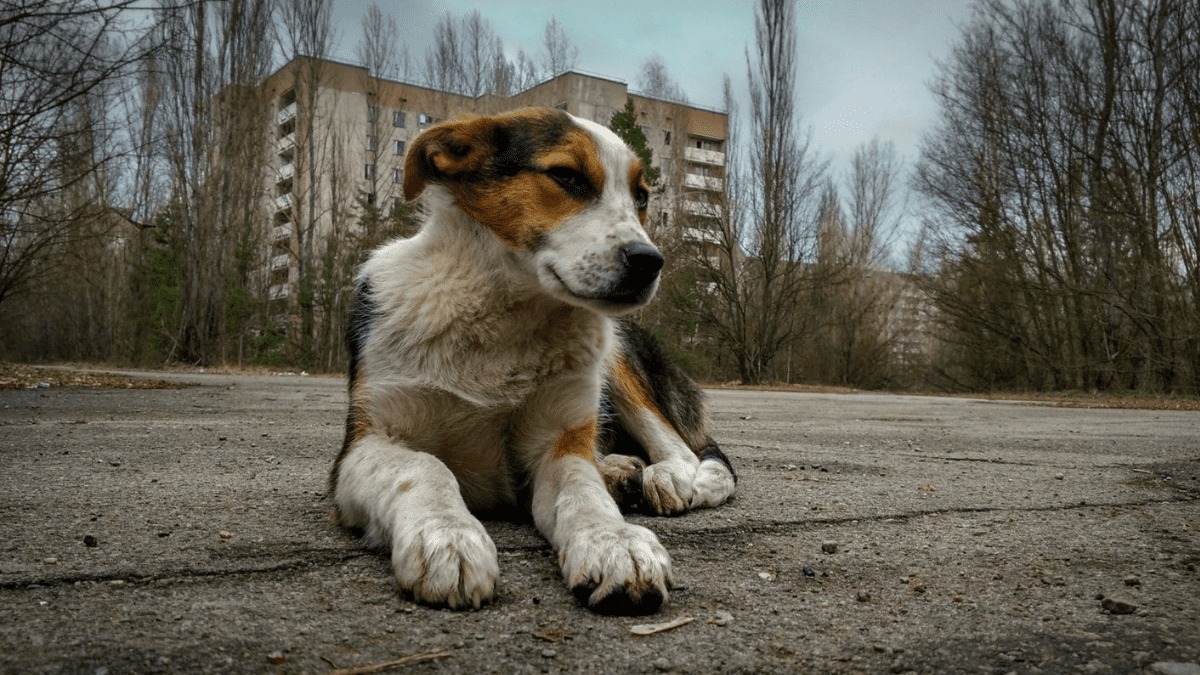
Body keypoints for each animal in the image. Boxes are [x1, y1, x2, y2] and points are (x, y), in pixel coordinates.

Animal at [333, 106, 734, 614]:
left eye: (641, 196)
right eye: (567, 176)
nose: (649, 261)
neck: (505, 316)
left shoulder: (557, 444)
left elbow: (583, 491)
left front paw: (615, 540)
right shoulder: (363, 445)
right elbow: (422, 467)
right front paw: (448, 535)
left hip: (616, 353)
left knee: (684, 450)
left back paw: (664, 478)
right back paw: (620, 471)